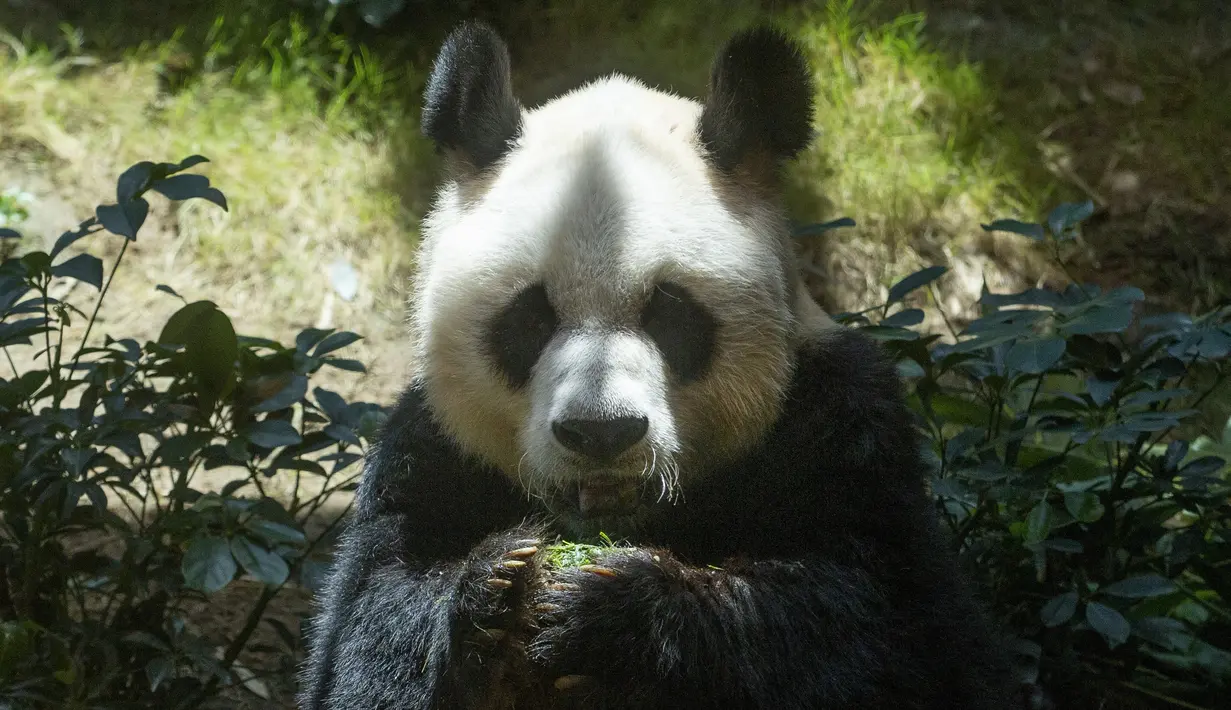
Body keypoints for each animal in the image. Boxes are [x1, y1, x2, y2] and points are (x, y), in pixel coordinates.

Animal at [299, 21, 1019, 710]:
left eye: (669, 314)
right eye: (531, 319)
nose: (601, 433)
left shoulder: (843, 428)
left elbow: (892, 629)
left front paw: (622, 613)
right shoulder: (428, 453)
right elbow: (364, 637)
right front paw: (497, 589)